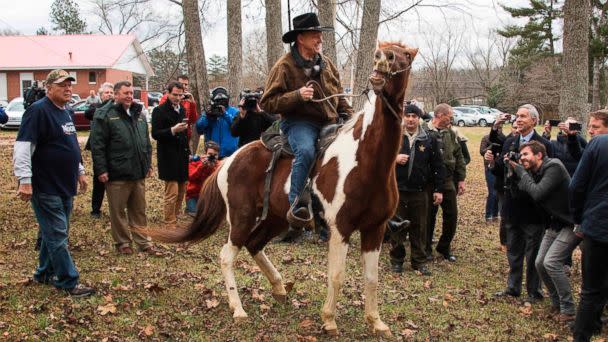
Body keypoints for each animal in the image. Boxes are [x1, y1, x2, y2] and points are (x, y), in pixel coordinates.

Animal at [142, 41, 416, 336]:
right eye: (383, 50)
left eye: (406, 54)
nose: (382, 58)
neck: (366, 159)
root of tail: (229, 161)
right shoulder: (341, 227)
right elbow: (336, 276)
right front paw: (329, 320)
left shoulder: (375, 228)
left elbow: (372, 278)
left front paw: (376, 322)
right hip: (241, 217)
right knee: (227, 256)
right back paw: (238, 309)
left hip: (275, 218)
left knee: (254, 244)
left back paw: (279, 287)